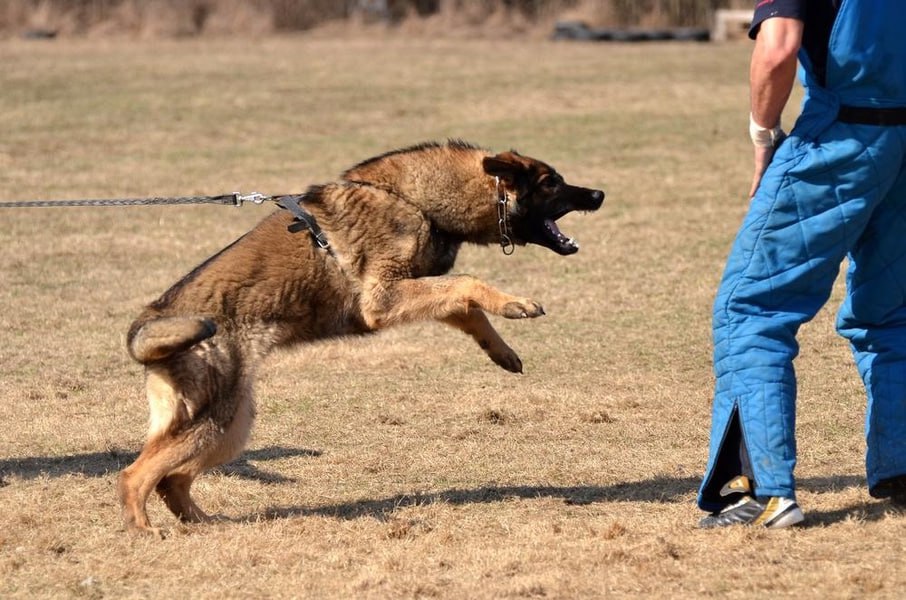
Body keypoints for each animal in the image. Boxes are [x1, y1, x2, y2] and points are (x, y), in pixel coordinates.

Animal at [116, 139, 604, 536]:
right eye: (551, 183)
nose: (599, 194)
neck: (416, 200)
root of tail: (146, 324)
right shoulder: (383, 298)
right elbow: (468, 284)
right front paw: (515, 303)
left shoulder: (412, 289)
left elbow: (466, 308)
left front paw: (502, 350)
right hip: (215, 420)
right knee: (136, 475)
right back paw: (144, 530)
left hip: (230, 425)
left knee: (172, 479)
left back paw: (205, 523)